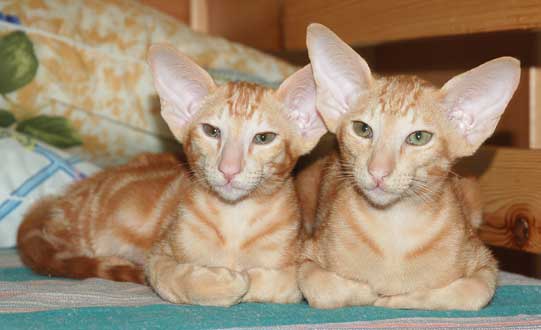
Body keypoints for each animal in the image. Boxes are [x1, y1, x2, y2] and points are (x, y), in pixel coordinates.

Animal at [17, 44, 324, 306]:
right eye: (211, 131)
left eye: (263, 138)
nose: (228, 168)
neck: (235, 219)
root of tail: (60, 198)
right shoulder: (158, 257)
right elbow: (176, 279)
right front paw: (227, 282)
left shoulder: (297, 256)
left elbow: (284, 281)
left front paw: (248, 276)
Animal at [298, 24, 520, 310]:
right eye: (362, 129)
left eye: (419, 137)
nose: (378, 171)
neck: (394, 228)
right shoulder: (305, 254)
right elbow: (322, 288)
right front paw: (369, 293)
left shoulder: (486, 263)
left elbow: (473, 292)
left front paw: (400, 298)